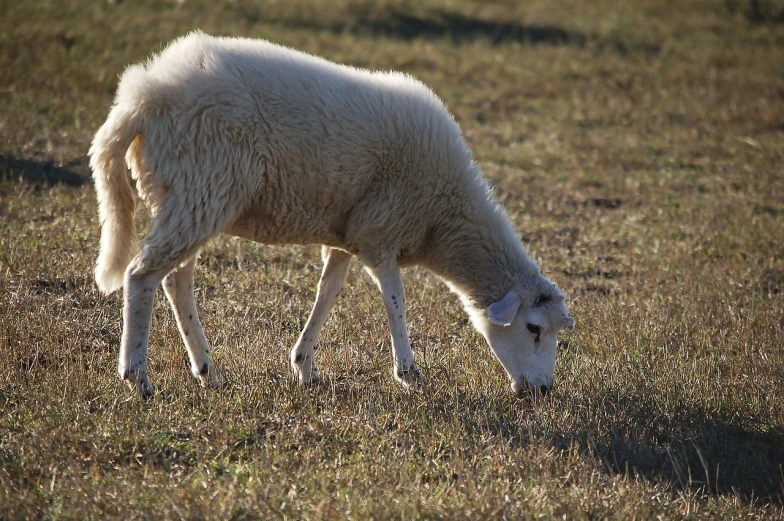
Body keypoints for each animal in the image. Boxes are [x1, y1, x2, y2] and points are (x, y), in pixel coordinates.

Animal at [90, 31, 576, 398]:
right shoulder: (380, 232)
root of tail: (141, 96)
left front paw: (304, 365)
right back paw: (137, 376)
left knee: (175, 279)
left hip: (189, 195)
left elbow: (329, 292)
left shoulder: (349, 233)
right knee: (142, 275)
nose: (543, 391)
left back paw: (208, 370)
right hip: (200, 188)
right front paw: (409, 373)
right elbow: (396, 300)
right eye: (533, 328)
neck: (444, 217)